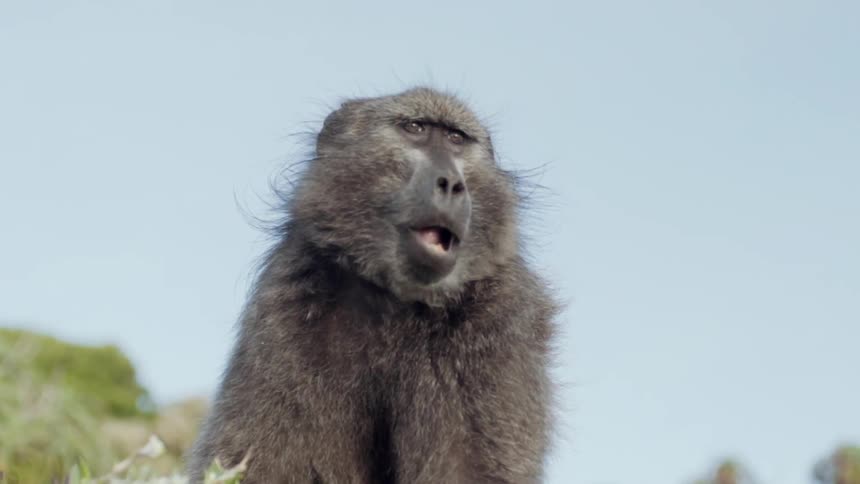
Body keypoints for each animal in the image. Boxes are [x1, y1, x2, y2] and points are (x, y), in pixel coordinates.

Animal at [187, 87, 559, 483]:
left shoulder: (497, 322)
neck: (395, 301)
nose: (452, 185)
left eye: (456, 139)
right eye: (416, 128)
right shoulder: (288, 308)